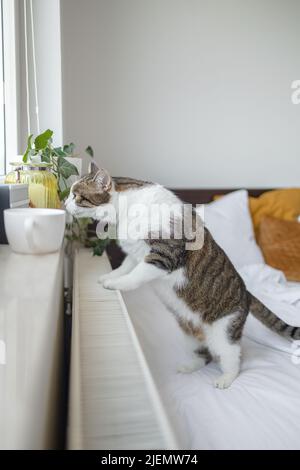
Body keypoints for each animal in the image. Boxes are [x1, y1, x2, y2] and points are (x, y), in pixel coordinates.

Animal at [66, 163, 300, 388]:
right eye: (70, 194)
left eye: (76, 195)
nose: (65, 204)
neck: (126, 209)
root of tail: (247, 293)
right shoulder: (135, 253)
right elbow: (125, 267)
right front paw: (109, 276)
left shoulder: (163, 255)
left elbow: (135, 276)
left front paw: (116, 284)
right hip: (188, 332)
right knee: (204, 353)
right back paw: (190, 366)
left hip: (224, 332)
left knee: (232, 357)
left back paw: (226, 379)